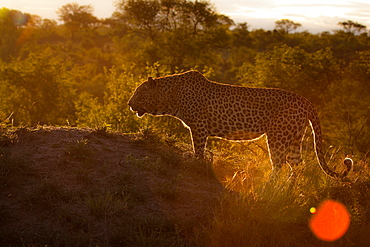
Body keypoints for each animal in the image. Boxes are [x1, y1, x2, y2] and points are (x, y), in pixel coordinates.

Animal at [129, 70, 354, 178]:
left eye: (139, 93)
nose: (129, 104)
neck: (171, 97)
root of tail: (306, 100)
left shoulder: (199, 127)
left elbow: (198, 149)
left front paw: (195, 163)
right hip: (294, 138)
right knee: (297, 166)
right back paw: (289, 191)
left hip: (277, 137)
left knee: (279, 165)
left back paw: (269, 188)